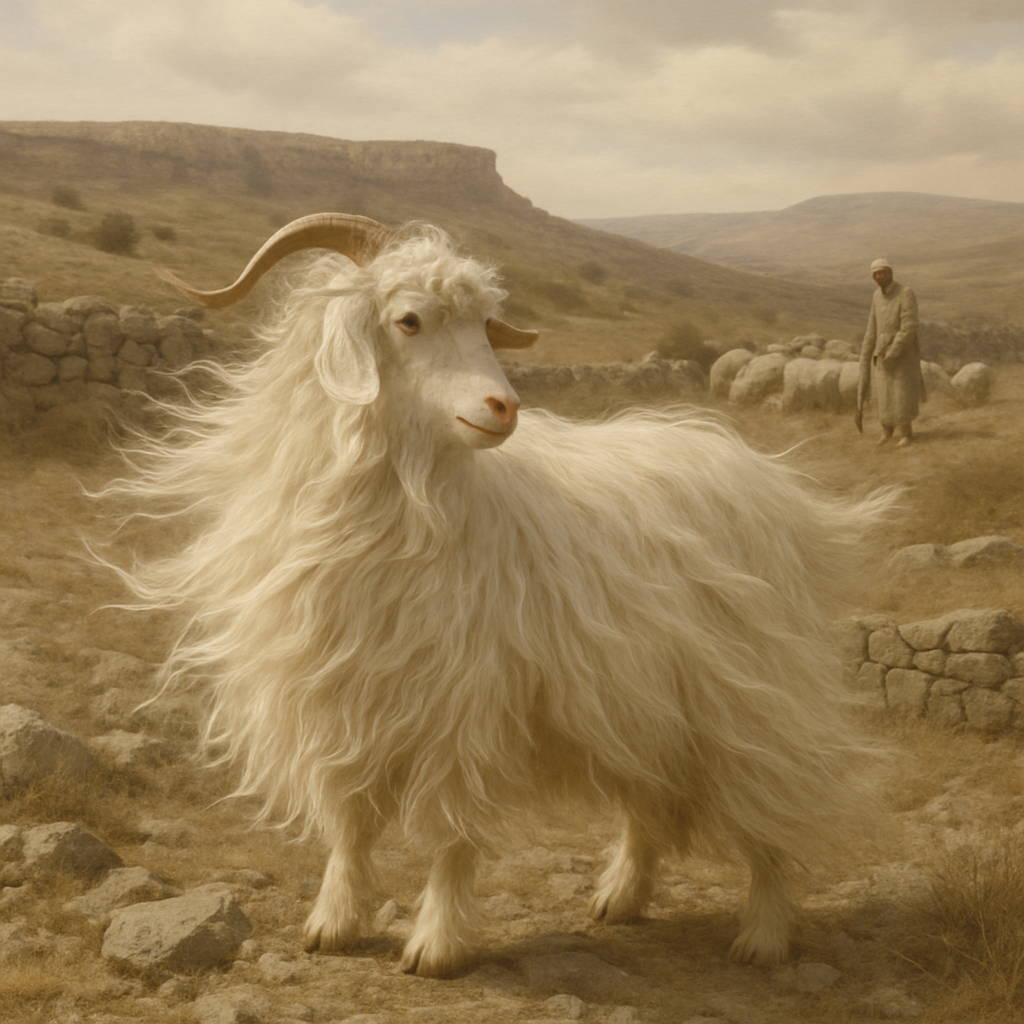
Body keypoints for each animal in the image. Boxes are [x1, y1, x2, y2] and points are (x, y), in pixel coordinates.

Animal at [112, 213, 889, 977]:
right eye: (409, 320)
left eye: (487, 324)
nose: (504, 406)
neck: (414, 506)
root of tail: (775, 485)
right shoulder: (342, 699)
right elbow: (352, 821)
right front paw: (332, 924)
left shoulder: (464, 705)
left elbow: (451, 832)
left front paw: (436, 945)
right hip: (644, 702)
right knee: (649, 803)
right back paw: (622, 897)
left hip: (752, 700)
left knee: (770, 805)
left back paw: (764, 933)